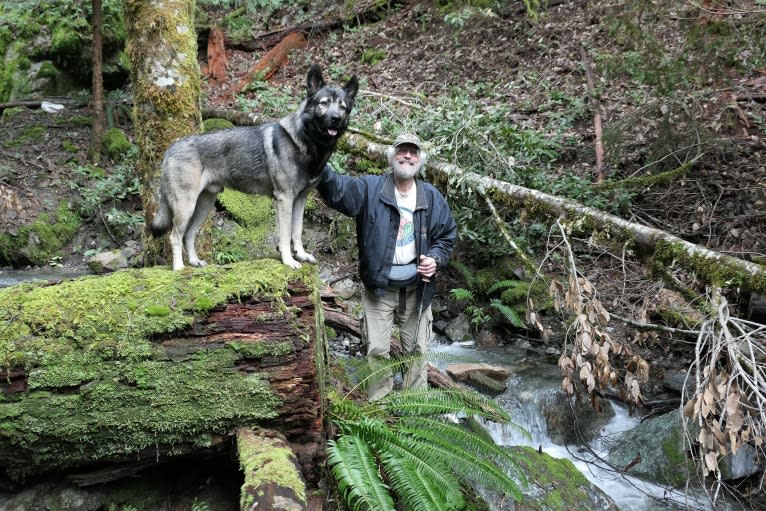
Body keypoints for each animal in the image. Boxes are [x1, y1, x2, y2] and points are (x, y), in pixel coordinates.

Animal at [151, 64, 360, 270]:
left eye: (343, 107)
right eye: (324, 103)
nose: (336, 118)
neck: (307, 143)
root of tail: (171, 148)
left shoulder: (300, 200)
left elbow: (297, 232)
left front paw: (301, 255)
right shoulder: (284, 199)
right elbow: (285, 236)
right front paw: (288, 260)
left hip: (204, 204)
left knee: (189, 234)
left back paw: (195, 262)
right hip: (186, 205)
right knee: (175, 236)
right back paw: (179, 268)